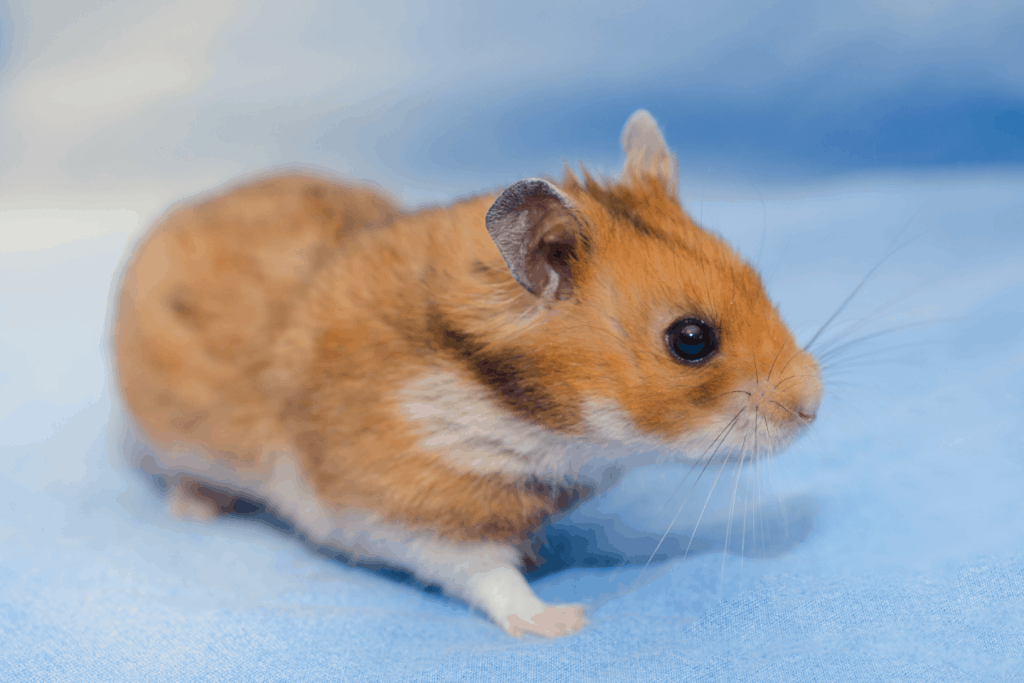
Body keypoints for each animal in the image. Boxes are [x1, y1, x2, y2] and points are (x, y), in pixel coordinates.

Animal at [110, 109, 823, 638]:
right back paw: (196, 510)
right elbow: (486, 573)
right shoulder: (411, 508)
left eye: (756, 279)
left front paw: (539, 557)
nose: (814, 406)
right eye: (691, 340)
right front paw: (562, 622)